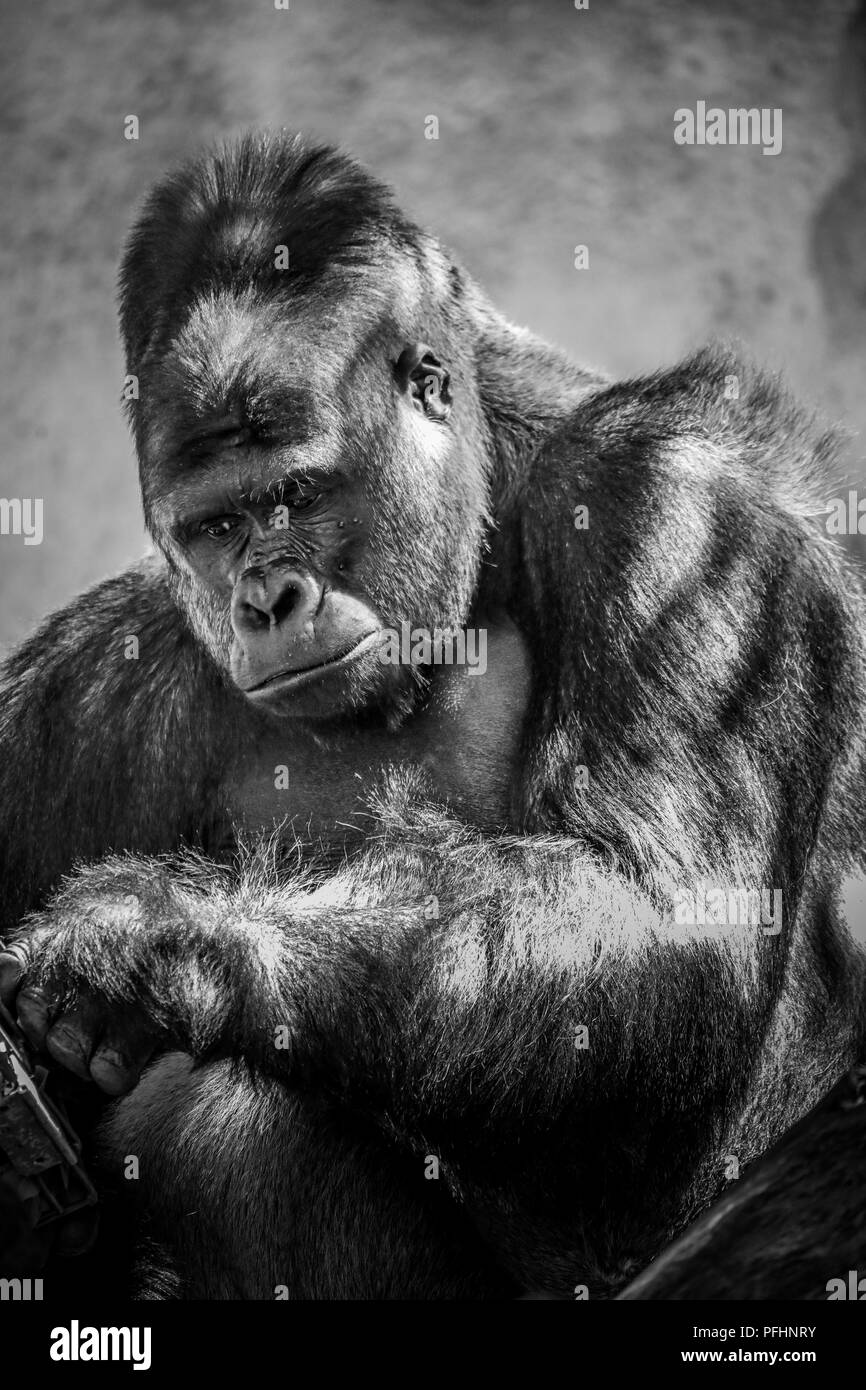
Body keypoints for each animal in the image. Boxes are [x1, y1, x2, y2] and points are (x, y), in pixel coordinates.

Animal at [0, 130, 864, 1299]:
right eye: (217, 526)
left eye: (296, 496)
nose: (263, 601)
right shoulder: (92, 682)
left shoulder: (680, 503)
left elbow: (664, 909)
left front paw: (164, 946)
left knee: (216, 1119)